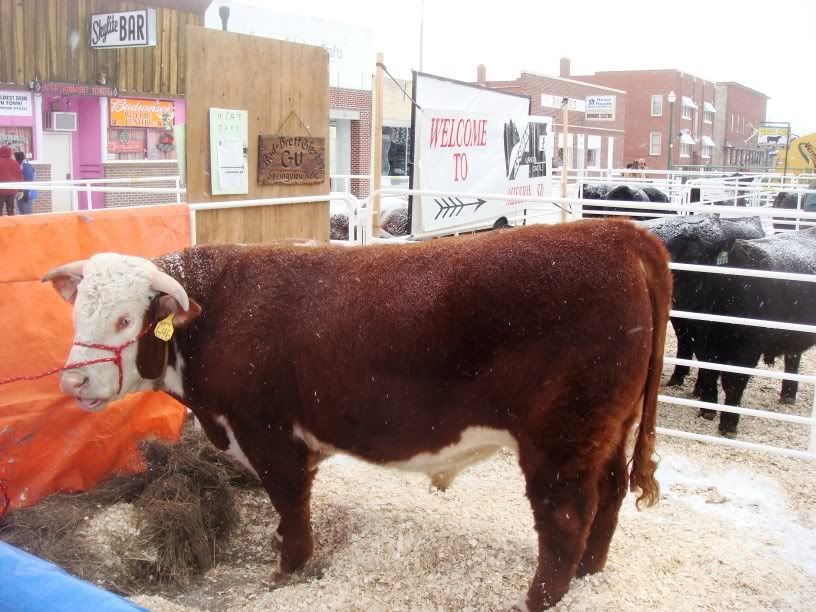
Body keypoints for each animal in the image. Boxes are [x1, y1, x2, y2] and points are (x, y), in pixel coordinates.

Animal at [43, 221, 671, 611]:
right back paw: (590, 575)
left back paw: (535, 599)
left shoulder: (268, 434)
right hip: (608, 432)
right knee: (610, 496)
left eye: (125, 319)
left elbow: (292, 508)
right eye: (77, 314)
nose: (72, 381)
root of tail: (619, 234)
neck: (218, 314)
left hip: (561, 439)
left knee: (565, 520)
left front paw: (285, 573)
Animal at [694, 228, 816, 437]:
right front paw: (707, 411)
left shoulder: (747, 347)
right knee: (793, 357)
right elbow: (709, 371)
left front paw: (728, 424)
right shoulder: (708, 341)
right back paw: (788, 395)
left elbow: (733, 382)